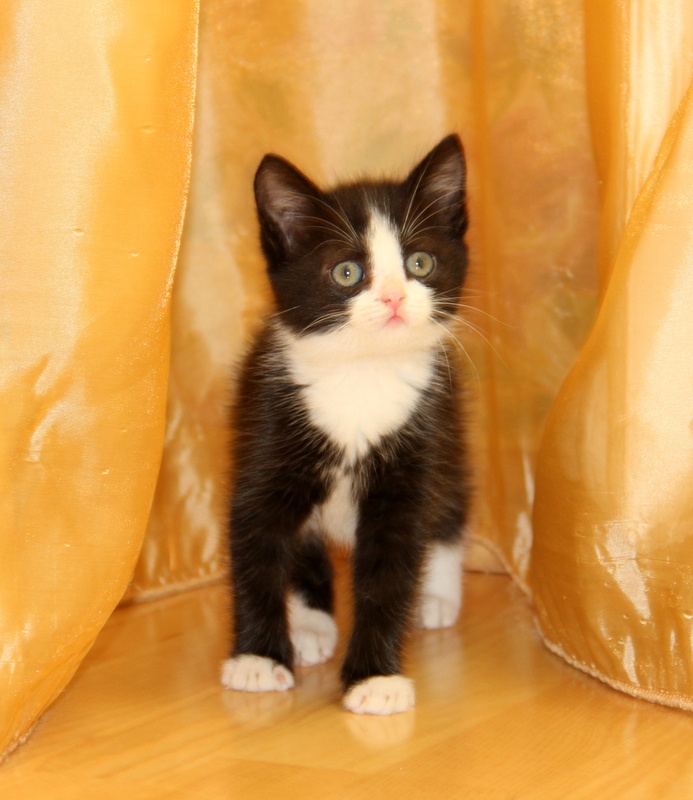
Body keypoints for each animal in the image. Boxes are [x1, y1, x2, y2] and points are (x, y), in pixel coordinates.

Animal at [221, 134, 470, 715]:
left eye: (420, 262)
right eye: (347, 273)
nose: (394, 298)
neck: (361, 373)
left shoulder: (417, 446)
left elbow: (392, 569)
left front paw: (375, 677)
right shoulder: (266, 435)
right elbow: (257, 548)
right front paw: (258, 660)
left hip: (449, 433)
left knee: (449, 505)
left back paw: (438, 595)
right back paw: (310, 626)